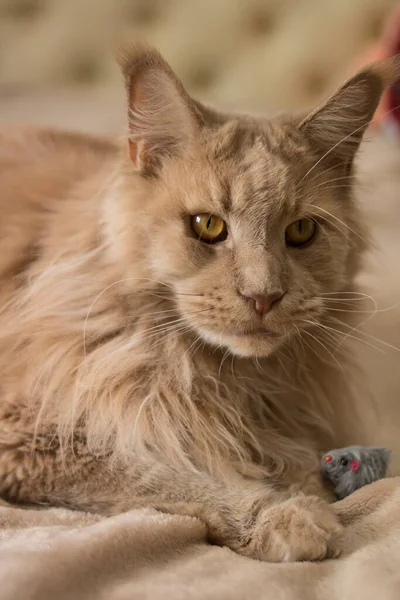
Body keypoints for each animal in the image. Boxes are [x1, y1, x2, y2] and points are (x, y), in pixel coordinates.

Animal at [0, 45, 396, 564]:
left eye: (301, 232)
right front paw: (285, 514)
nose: (263, 296)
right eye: (208, 226)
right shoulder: (35, 433)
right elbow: (168, 471)